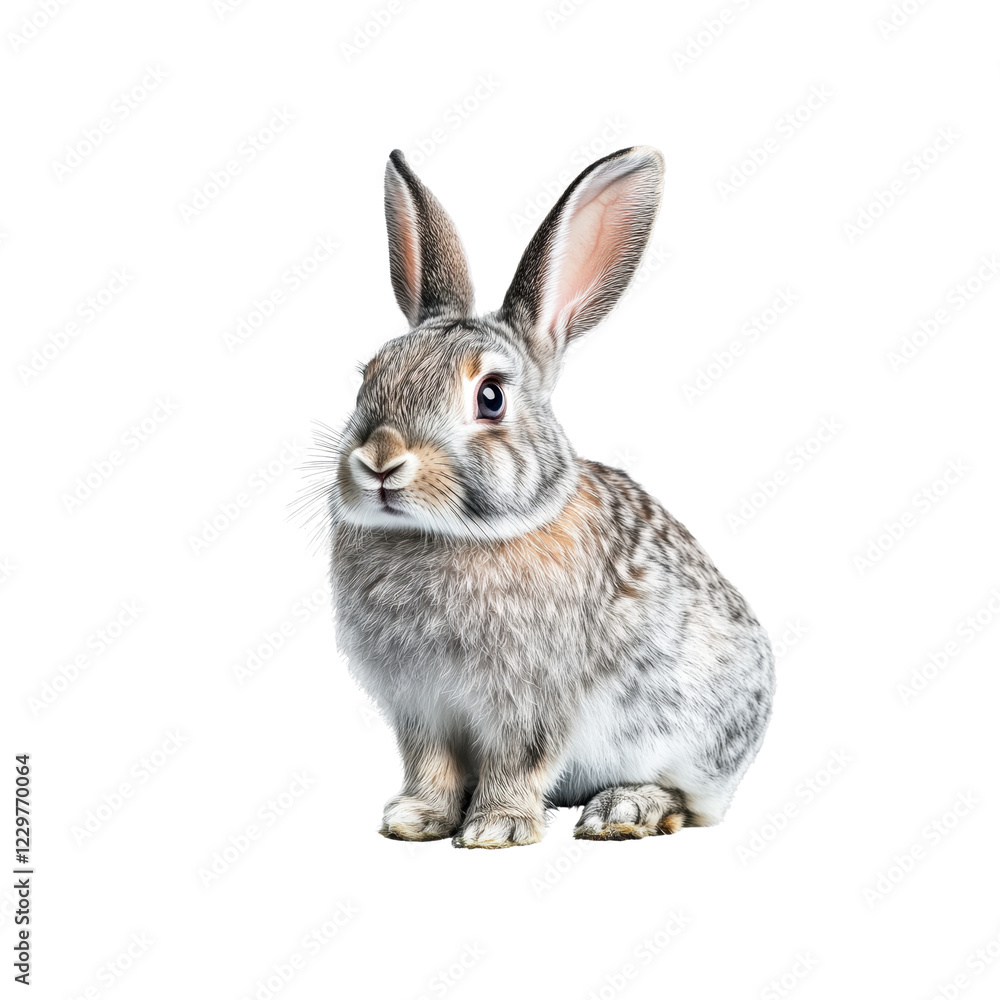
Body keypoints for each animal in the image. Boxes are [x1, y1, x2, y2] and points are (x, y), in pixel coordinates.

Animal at [325, 145, 775, 848]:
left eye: (490, 397)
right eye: (367, 377)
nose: (379, 462)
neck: (452, 535)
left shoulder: (532, 698)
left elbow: (519, 758)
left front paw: (495, 829)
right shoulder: (420, 705)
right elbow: (429, 764)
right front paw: (415, 819)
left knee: (688, 800)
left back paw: (624, 811)